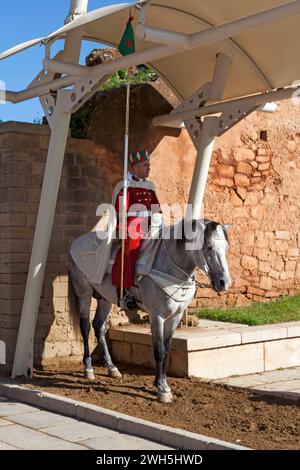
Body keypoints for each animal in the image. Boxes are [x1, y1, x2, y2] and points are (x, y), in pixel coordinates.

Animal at [68, 220, 232, 404]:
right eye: (209, 247)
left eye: (226, 247)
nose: (224, 282)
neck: (168, 268)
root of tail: (75, 243)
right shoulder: (157, 317)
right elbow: (159, 350)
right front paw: (162, 390)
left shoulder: (174, 318)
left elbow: (167, 350)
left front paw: (160, 382)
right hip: (83, 293)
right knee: (85, 327)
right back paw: (88, 368)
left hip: (105, 299)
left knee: (99, 327)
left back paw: (112, 368)